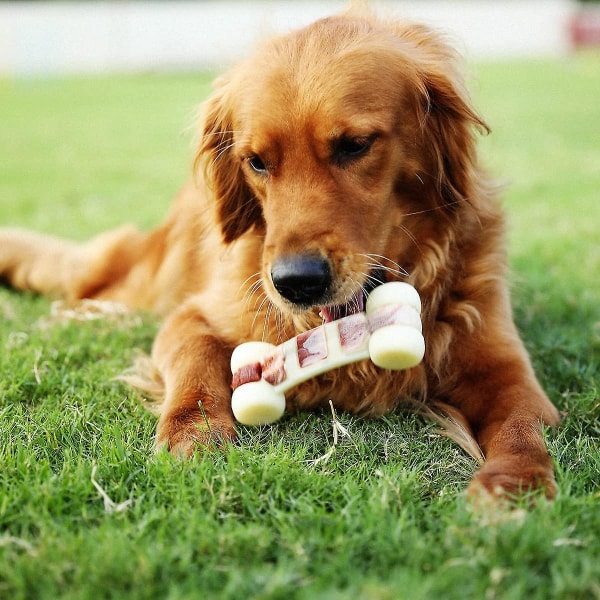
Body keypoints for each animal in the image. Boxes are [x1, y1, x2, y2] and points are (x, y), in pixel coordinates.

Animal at [0, 9, 556, 500]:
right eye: (256, 162)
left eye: (355, 145)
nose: (297, 282)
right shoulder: (194, 315)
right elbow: (195, 365)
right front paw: (192, 438)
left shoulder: (504, 368)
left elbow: (521, 424)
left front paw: (516, 486)